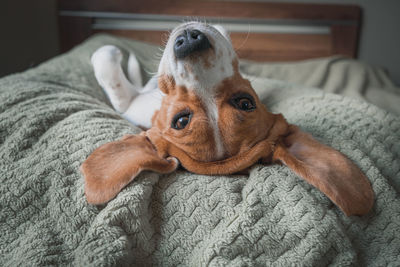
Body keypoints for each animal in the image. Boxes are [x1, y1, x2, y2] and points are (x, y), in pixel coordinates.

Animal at [82, 22, 376, 217]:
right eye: (180, 121)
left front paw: (112, 53)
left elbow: (109, 67)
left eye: (245, 102)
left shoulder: (127, 101)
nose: (191, 40)